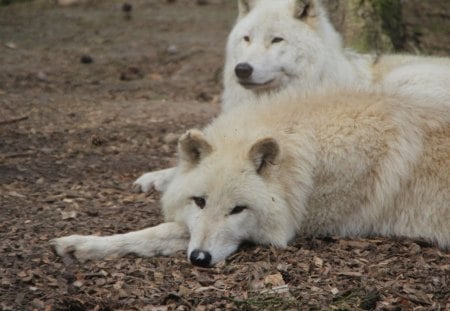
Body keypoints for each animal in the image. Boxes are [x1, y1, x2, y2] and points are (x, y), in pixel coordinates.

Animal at [51, 91, 450, 268]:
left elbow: (161, 232)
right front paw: (81, 244)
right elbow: (150, 233)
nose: (199, 258)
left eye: (238, 210)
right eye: (199, 202)